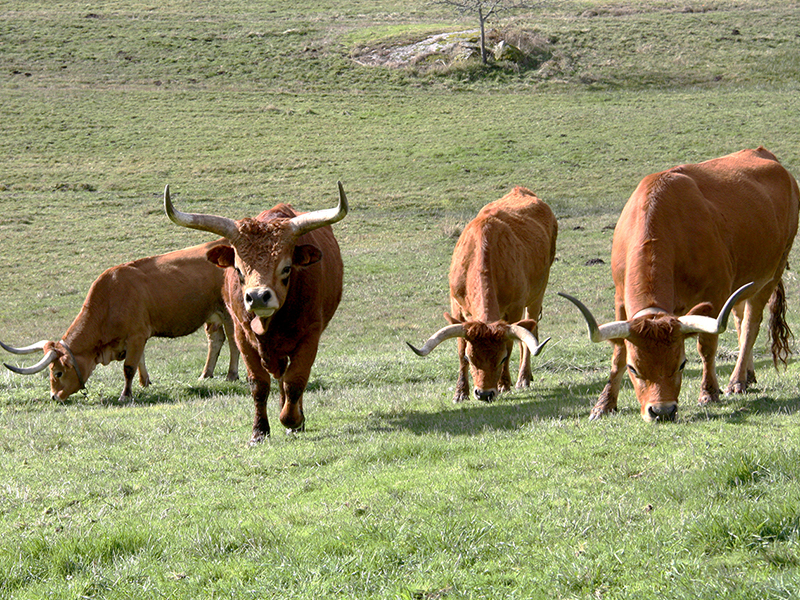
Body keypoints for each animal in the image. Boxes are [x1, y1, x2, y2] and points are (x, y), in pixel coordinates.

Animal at [3, 239, 241, 404]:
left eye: (58, 372)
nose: (54, 397)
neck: (110, 298)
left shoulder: (136, 335)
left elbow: (129, 367)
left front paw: (125, 394)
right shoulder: (136, 337)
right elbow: (140, 360)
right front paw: (145, 383)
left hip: (229, 312)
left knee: (233, 341)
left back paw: (232, 375)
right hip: (213, 315)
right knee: (216, 339)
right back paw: (205, 375)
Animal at [162, 180, 346, 442]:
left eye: (286, 268)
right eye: (238, 270)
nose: (258, 296)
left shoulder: (310, 336)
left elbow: (296, 381)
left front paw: (293, 420)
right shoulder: (242, 336)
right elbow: (258, 385)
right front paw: (259, 431)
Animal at [406, 188, 556, 404]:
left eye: (501, 359)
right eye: (470, 358)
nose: (484, 393)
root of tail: (521, 190)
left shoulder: (515, 307)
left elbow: (510, 343)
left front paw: (504, 384)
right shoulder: (456, 306)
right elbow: (460, 345)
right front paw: (460, 392)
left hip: (537, 295)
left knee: (531, 331)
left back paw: (523, 378)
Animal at [560, 148, 796, 424]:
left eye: (682, 364)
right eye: (634, 368)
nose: (662, 411)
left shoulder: (715, 296)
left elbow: (707, 346)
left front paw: (708, 392)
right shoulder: (620, 299)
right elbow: (618, 353)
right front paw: (604, 404)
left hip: (770, 275)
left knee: (750, 325)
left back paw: (736, 381)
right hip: (743, 285)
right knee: (740, 319)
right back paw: (748, 376)